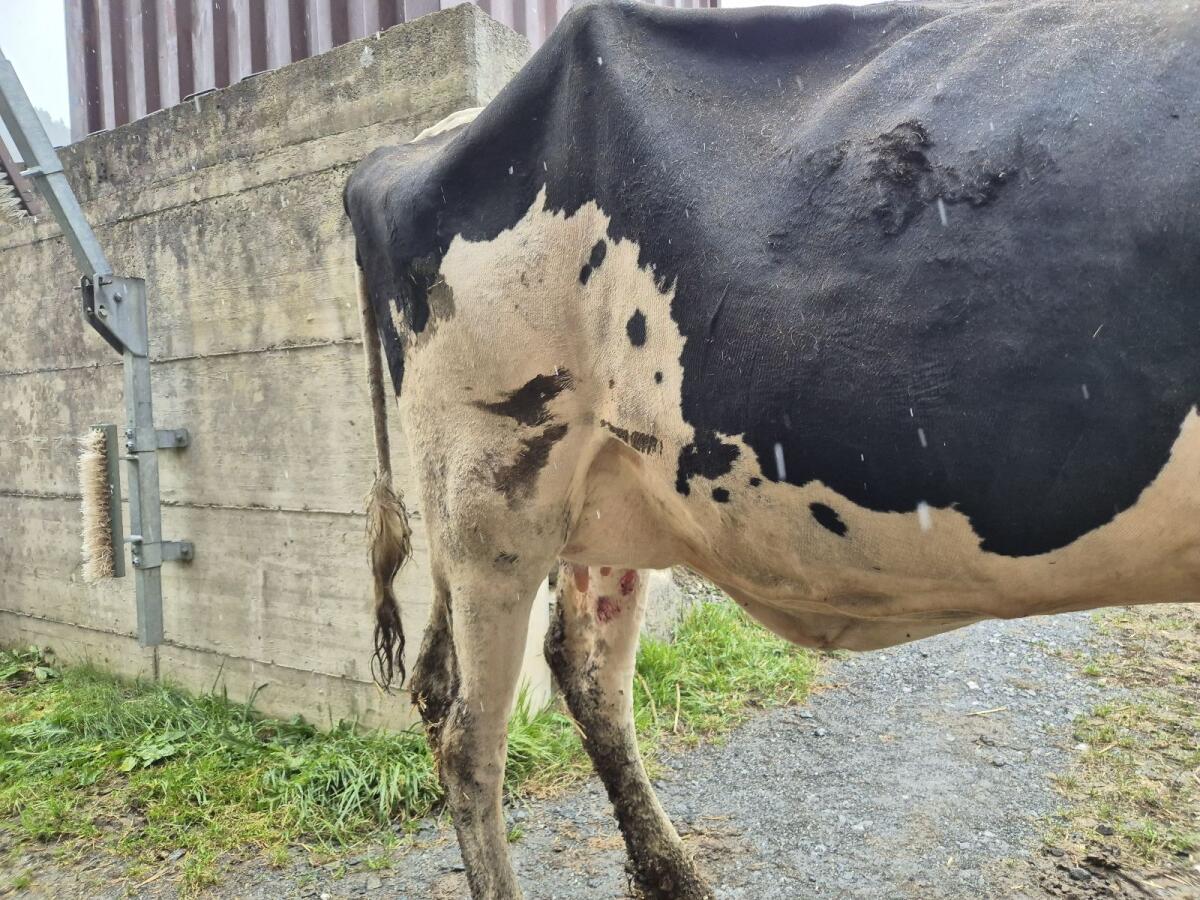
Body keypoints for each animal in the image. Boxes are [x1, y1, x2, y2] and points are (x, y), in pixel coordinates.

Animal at [343, 0, 1200, 896]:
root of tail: (409, 145)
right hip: (494, 496)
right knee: (468, 734)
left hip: (597, 485)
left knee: (570, 670)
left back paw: (675, 874)